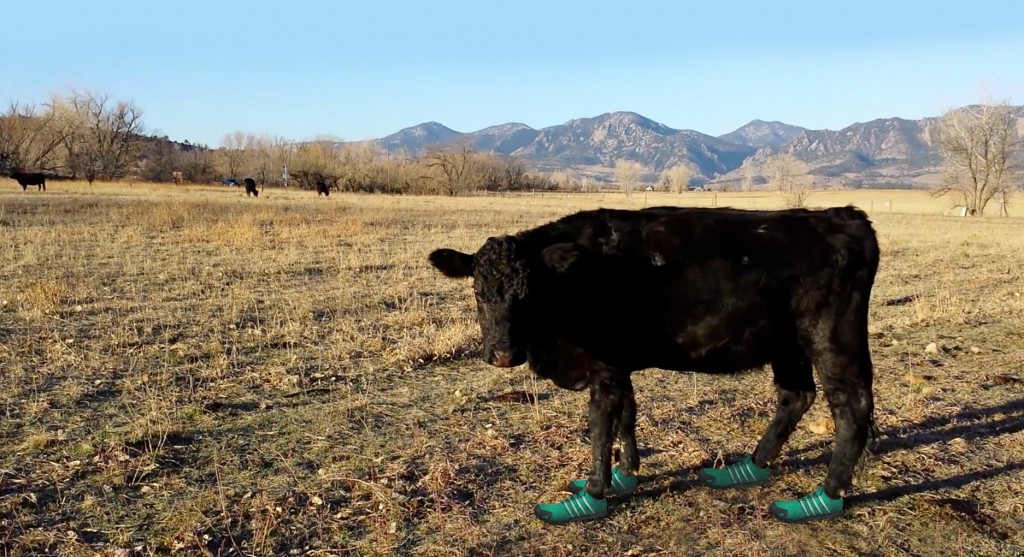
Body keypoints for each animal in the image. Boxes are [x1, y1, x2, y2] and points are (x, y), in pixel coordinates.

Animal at [428, 204, 884, 522]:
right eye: (478, 290)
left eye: (528, 293)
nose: (503, 354)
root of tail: (844, 215)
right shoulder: (617, 365)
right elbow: (627, 416)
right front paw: (627, 474)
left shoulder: (604, 365)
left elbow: (599, 429)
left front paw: (591, 495)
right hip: (787, 345)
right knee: (795, 397)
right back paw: (749, 468)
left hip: (831, 338)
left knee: (851, 406)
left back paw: (823, 497)